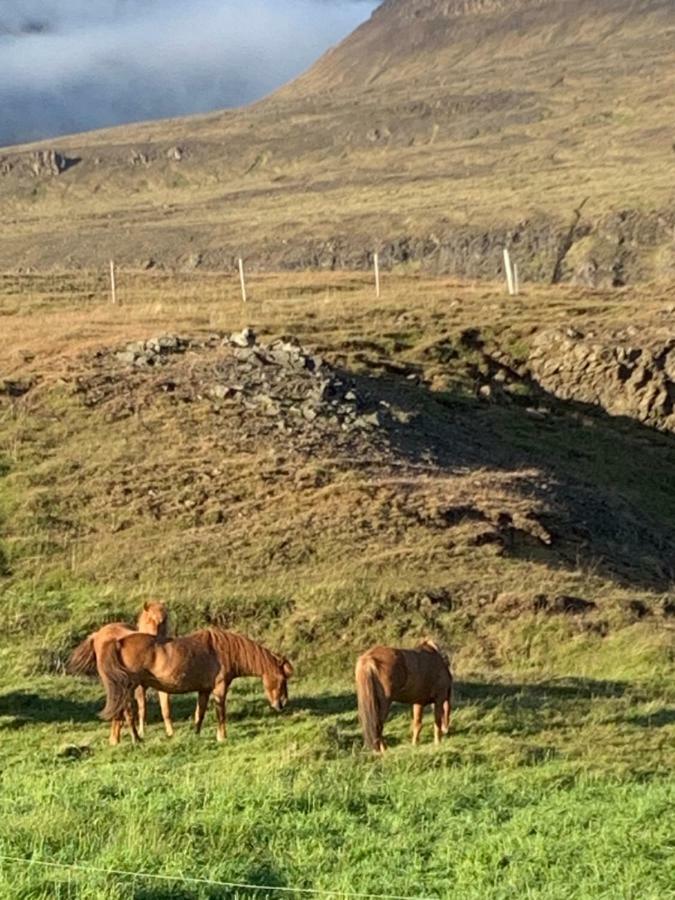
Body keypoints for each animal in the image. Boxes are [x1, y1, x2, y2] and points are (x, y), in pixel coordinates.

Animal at [67, 600, 173, 740]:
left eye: (164, 620)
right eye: (150, 619)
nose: (155, 640)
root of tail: (98, 633)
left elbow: (165, 709)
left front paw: (171, 732)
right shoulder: (139, 688)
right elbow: (142, 709)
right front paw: (141, 732)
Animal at [97, 624, 294, 744]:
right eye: (282, 679)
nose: (282, 704)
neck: (225, 651)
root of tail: (119, 642)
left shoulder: (204, 690)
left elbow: (200, 713)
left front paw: (196, 734)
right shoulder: (220, 689)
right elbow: (220, 714)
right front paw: (222, 737)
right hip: (130, 687)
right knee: (128, 712)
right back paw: (136, 739)